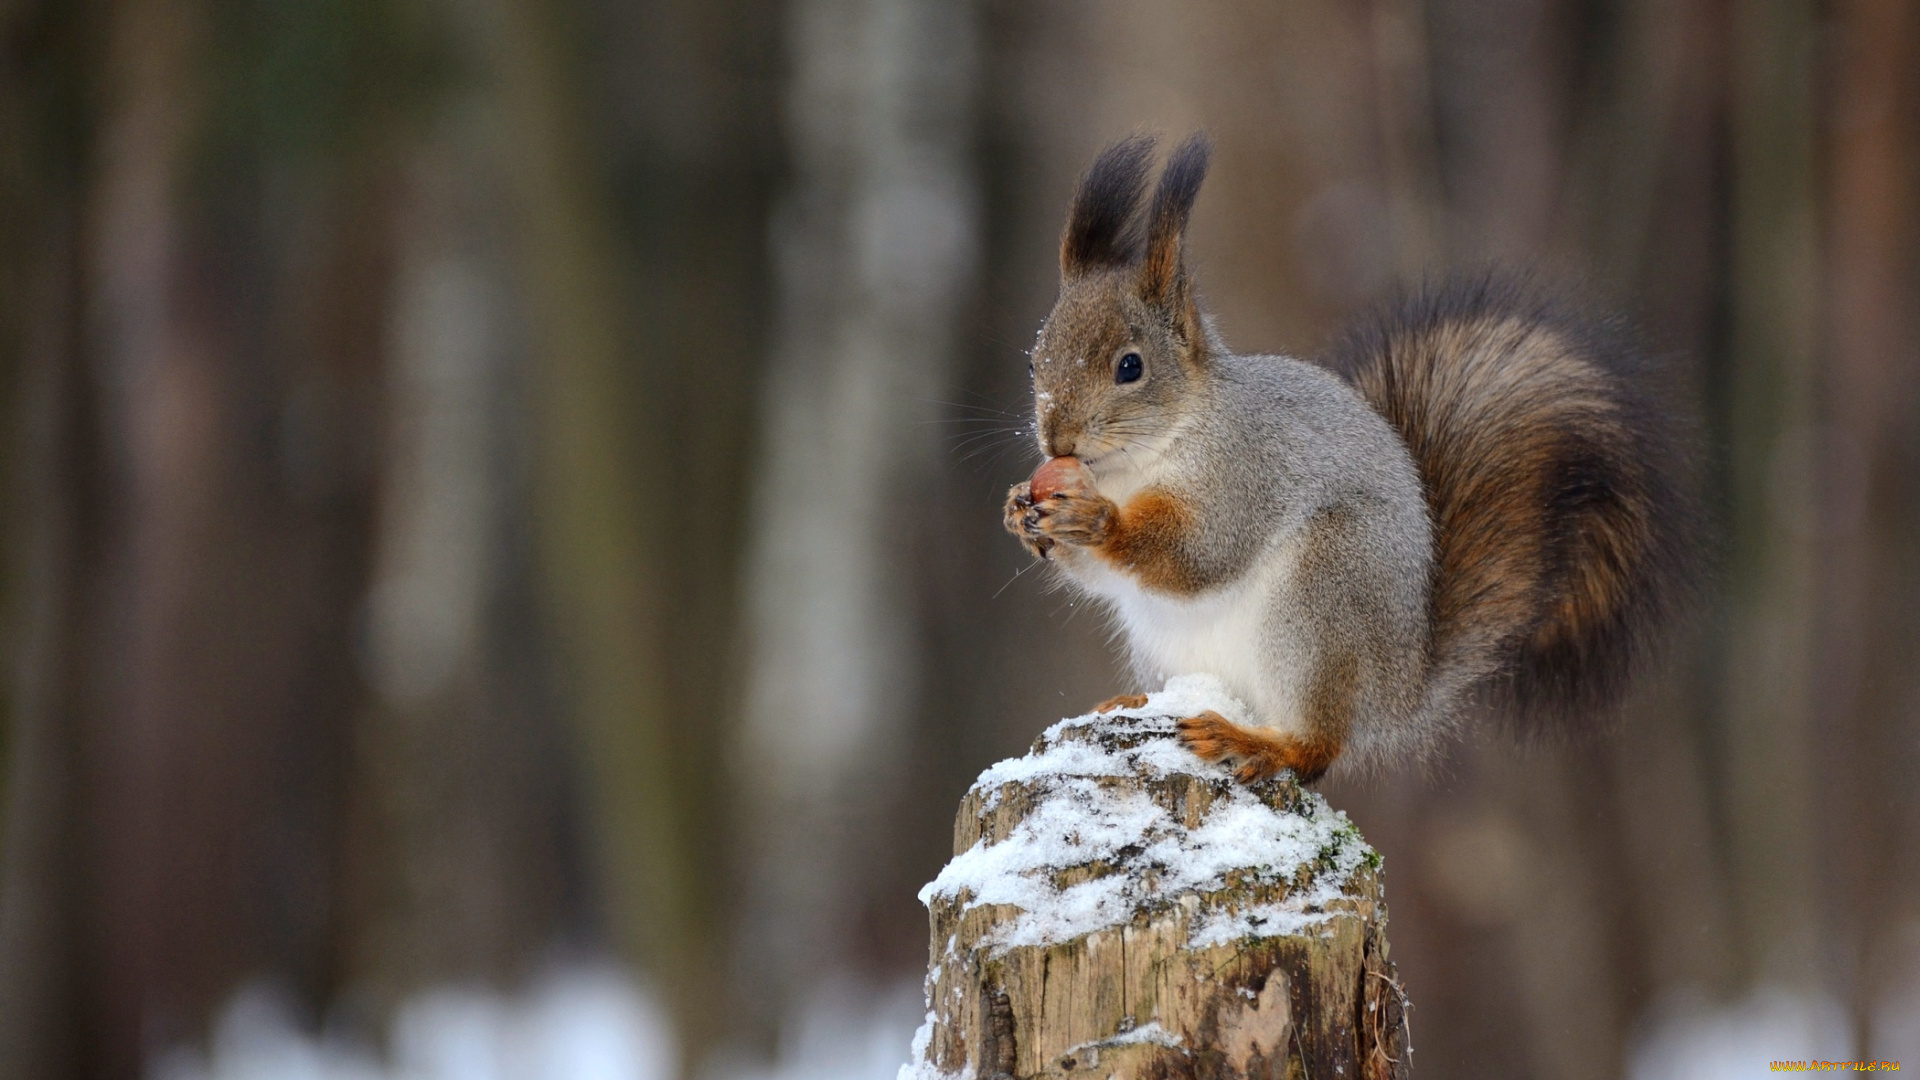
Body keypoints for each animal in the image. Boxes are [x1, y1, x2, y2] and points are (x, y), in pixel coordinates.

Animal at [1006, 134, 1697, 776]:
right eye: (1035, 360)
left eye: (1131, 366)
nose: (1056, 441)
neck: (1133, 465)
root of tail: (1399, 691)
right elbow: (1101, 575)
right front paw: (1023, 516)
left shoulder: (1248, 471)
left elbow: (1201, 551)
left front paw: (1096, 522)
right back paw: (1137, 704)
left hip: (1325, 595)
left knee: (1319, 750)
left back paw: (1256, 742)